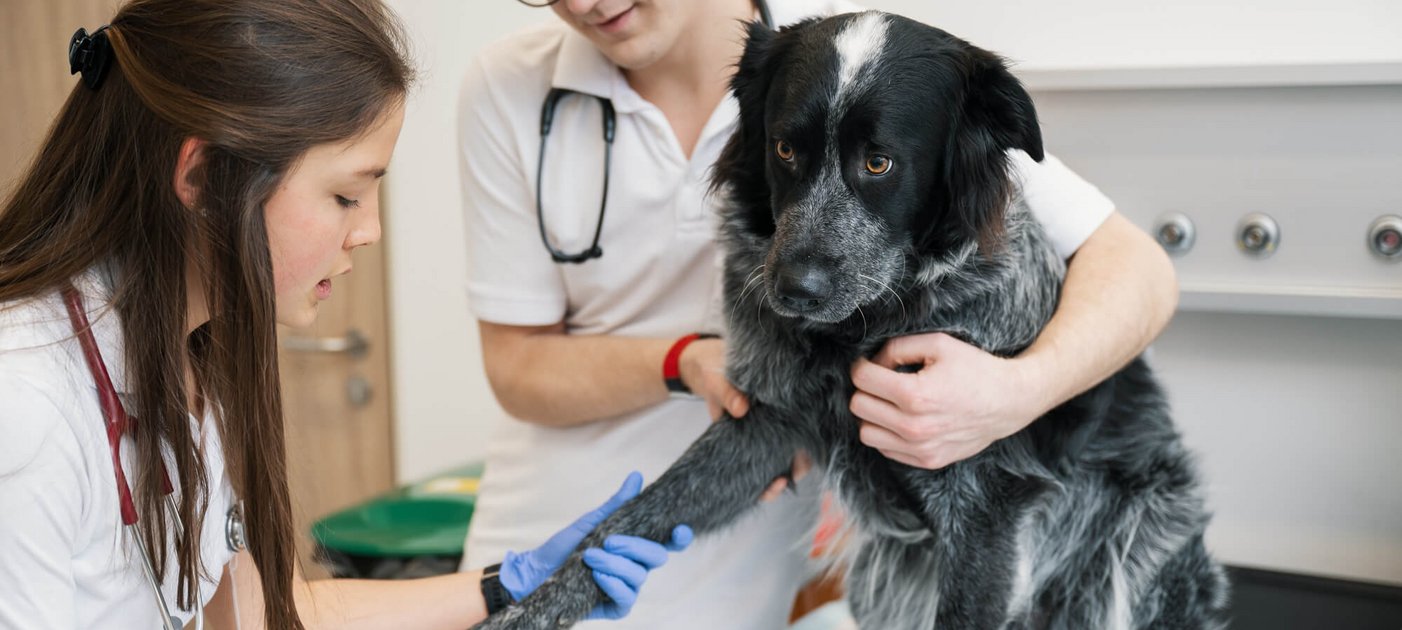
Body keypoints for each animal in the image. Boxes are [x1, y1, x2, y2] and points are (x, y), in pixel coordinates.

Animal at [479, 9, 1228, 628]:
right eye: (785, 150)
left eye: (879, 162)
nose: (792, 288)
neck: (859, 331)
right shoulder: (765, 424)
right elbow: (618, 527)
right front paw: (523, 607)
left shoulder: (986, 511)